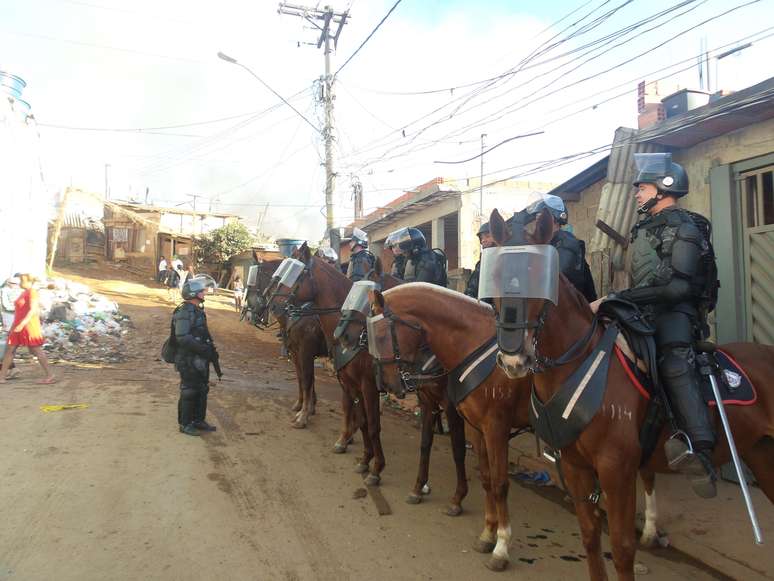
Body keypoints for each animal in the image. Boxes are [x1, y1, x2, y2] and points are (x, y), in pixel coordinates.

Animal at [270, 242, 470, 516]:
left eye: (298, 275)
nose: (274, 305)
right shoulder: (347, 379)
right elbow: (359, 418)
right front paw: (360, 454)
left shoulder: (363, 383)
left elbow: (371, 424)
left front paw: (375, 467)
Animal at [492, 208, 774, 580]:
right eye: (494, 277)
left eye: (540, 275)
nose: (513, 359)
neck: (578, 362)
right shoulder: (575, 467)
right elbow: (590, 538)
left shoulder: (617, 470)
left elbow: (623, 548)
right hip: (762, 455)